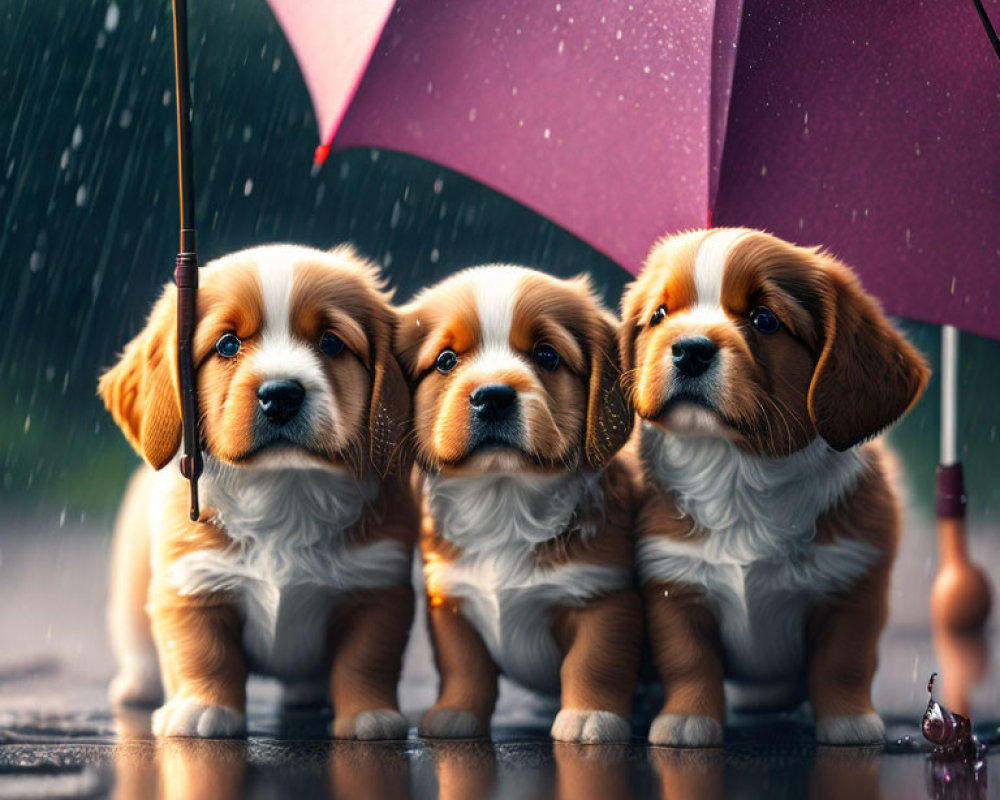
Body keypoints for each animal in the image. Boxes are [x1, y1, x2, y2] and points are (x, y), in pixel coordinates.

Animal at [96, 244, 414, 736]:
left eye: (330, 343)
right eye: (228, 344)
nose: (280, 394)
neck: (284, 488)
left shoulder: (378, 584)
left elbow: (366, 659)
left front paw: (370, 716)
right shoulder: (191, 581)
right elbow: (201, 653)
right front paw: (201, 709)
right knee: (139, 644)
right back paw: (138, 686)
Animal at [392, 268, 640, 744]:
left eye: (546, 355)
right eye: (446, 360)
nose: (493, 396)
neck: (503, 500)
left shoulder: (604, 596)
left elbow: (594, 662)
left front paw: (590, 717)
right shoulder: (450, 598)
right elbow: (463, 666)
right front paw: (454, 714)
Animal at [624, 230, 928, 752]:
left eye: (764, 319)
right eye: (660, 315)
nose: (689, 349)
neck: (737, 470)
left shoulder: (853, 582)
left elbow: (843, 663)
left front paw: (849, 724)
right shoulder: (673, 583)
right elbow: (689, 660)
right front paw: (687, 720)